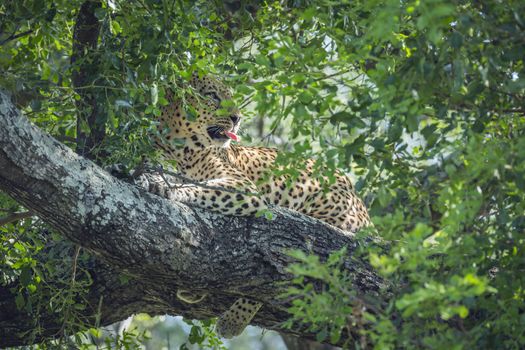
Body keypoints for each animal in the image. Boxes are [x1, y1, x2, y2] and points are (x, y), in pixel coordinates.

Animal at [141, 74, 366, 340]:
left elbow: (199, 188)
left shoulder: (244, 187)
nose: (237, 118)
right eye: (212, 96)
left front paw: (164, 188)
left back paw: (232, 320)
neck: (179, 148)